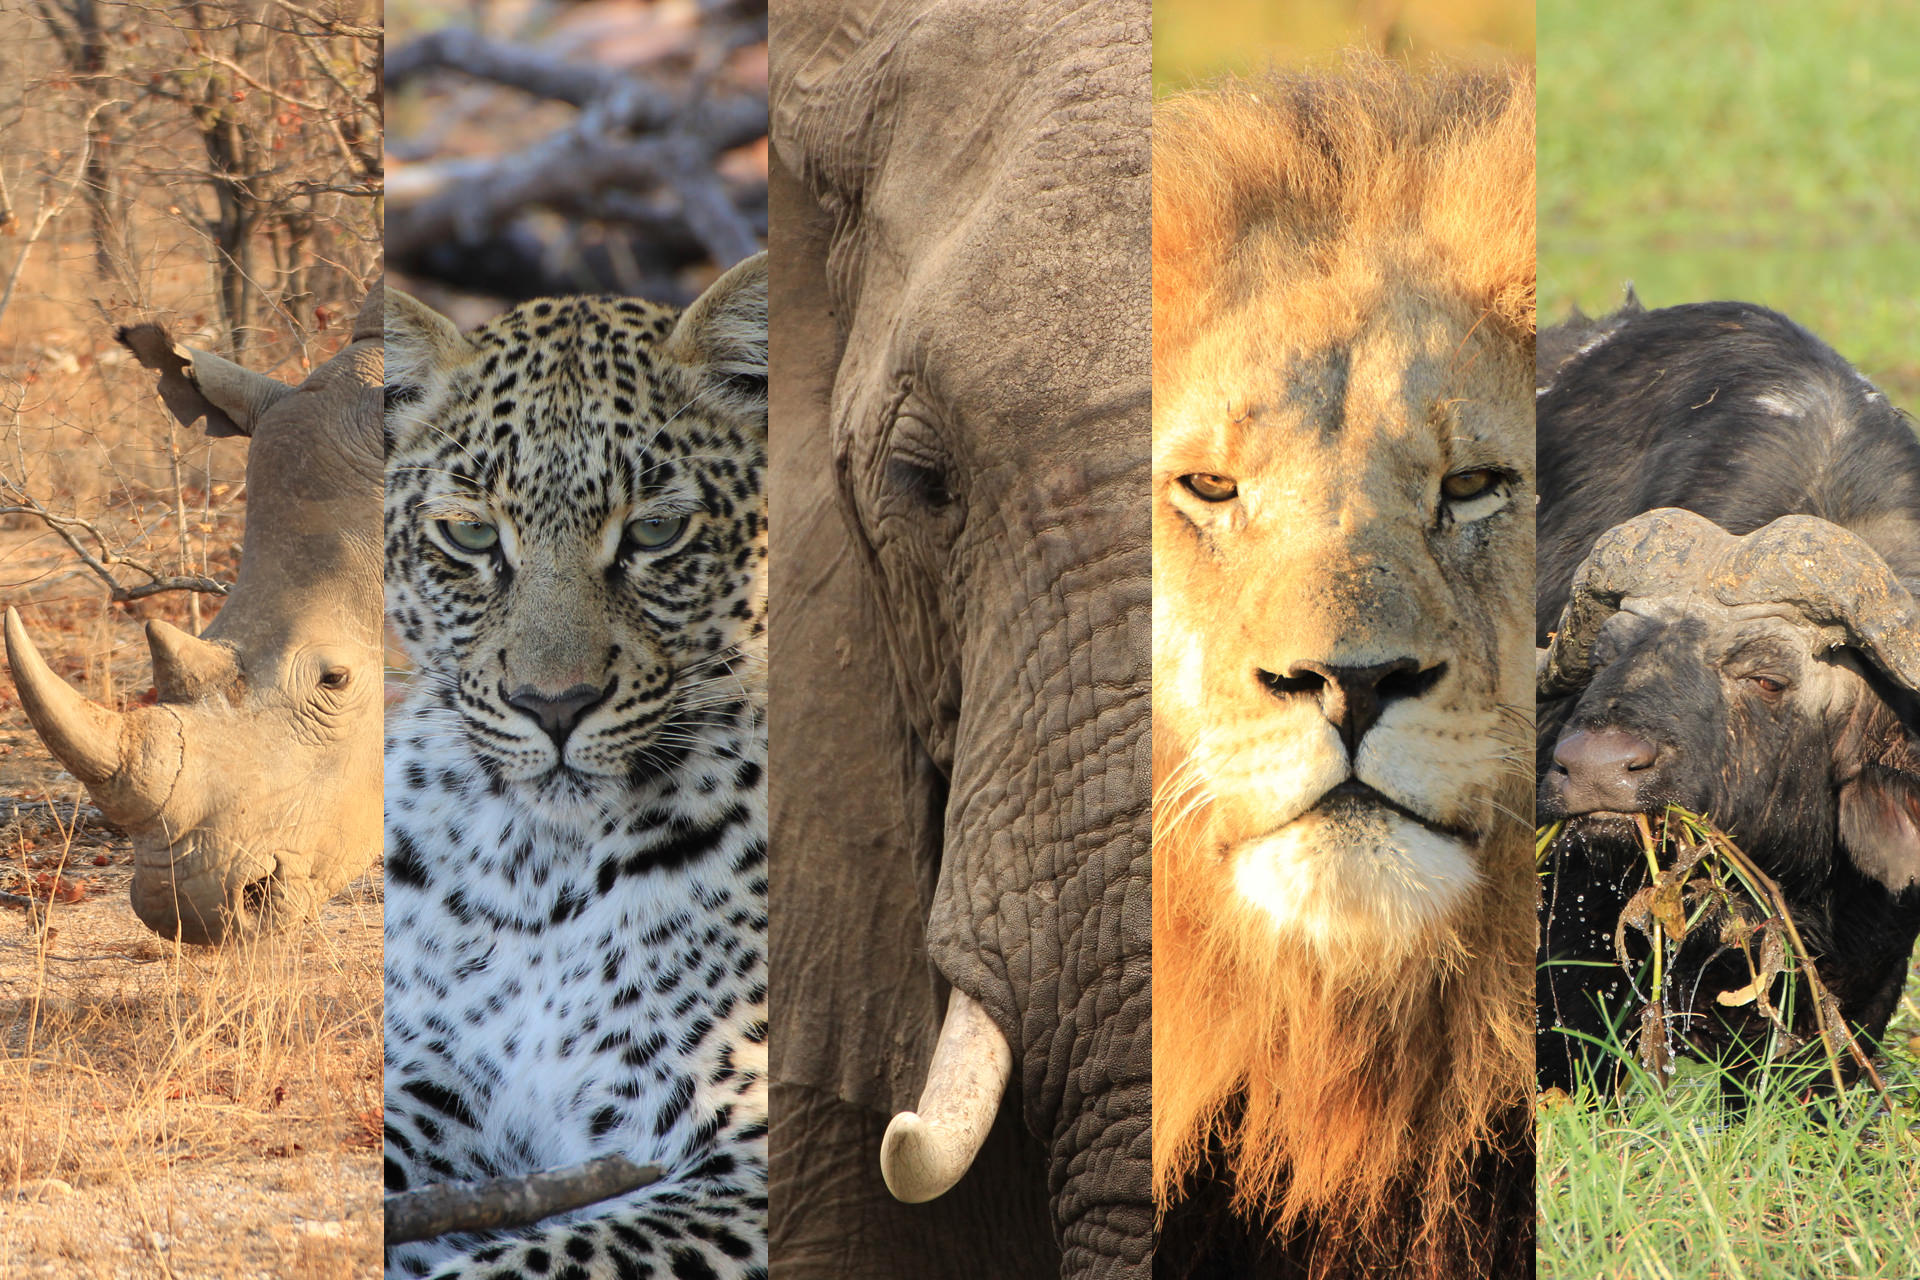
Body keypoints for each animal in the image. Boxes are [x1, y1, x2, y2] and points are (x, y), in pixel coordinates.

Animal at [380, 253, 769, 1280]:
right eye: (472, 536)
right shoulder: (427, 1088)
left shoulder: (747, 1158)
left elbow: (538, 1260)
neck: (536, 869)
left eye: (655, 535)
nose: (553, 704)